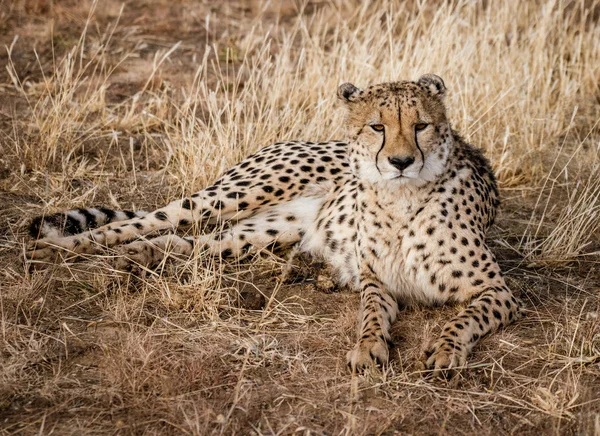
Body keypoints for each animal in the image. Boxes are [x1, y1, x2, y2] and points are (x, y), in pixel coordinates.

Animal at [27, 74, 520, 374]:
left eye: (421, 125)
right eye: (378, 127)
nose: (400, 162)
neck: (401, 200)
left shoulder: (496, 291)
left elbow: (464, 317)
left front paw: (445, 349)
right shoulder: (375, 280)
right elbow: (371, 315)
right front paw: (368, 347)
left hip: (263, 233)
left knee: (186, 243)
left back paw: (138, 257)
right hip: (231, 196)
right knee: (149, 219)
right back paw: (59, 248)